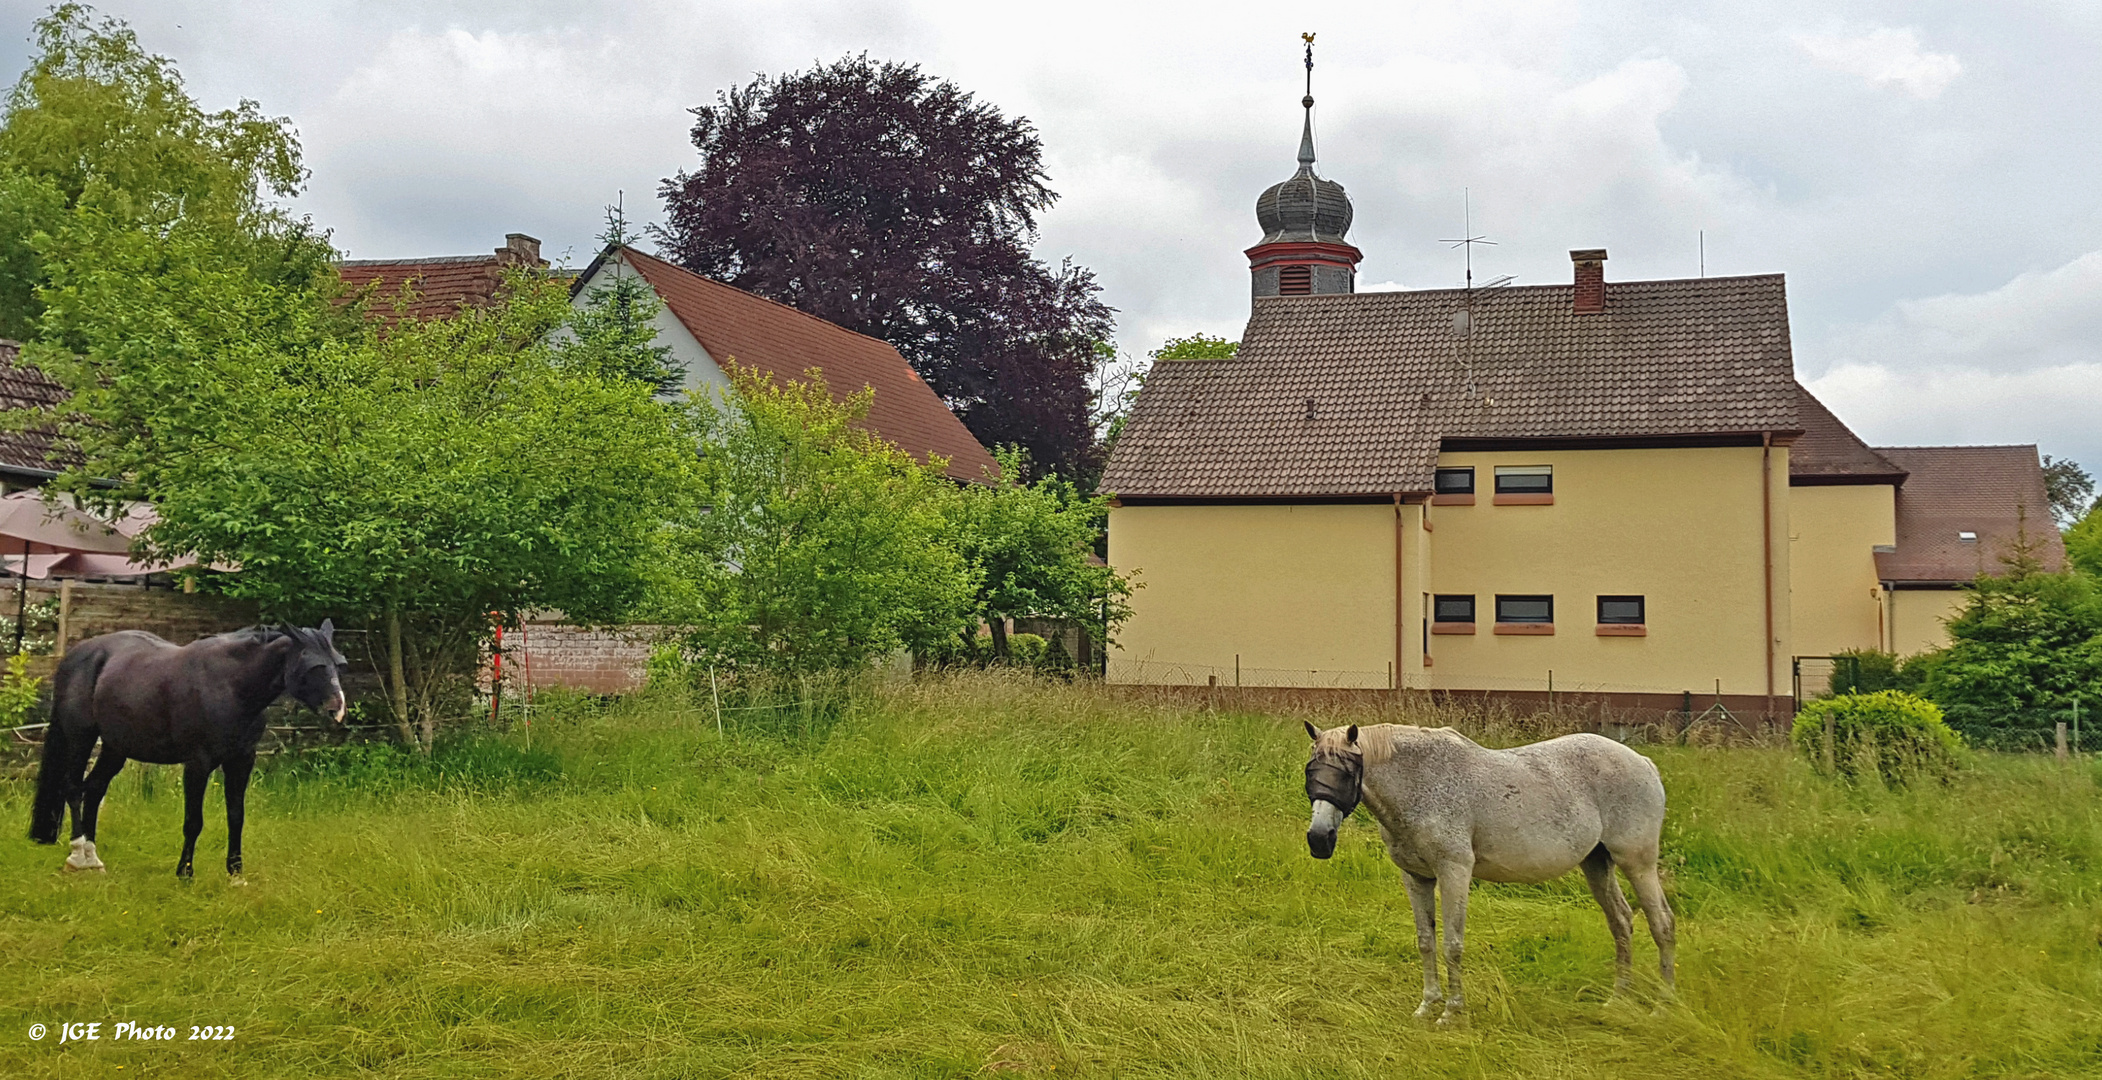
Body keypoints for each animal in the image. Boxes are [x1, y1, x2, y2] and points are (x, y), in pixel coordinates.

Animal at [26, 621, 346, 874]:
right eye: (314, 665)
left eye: (338, 663)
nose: (338, 709)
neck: (231, 686)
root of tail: (77, 655)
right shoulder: (198, 764)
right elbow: (193, 821)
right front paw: (185, 873)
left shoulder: (241, 760)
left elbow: (236, 816)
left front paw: (236, 874)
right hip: (80, 737)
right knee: (73, 788)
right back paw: (78, 856)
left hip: (116, 747)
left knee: (93, 789)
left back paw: (93, 858)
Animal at [1294, 718, 1673, 1021]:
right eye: (1311, 772)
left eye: (1345, 774)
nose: (1319, 839)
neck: (1420, 781)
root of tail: (1643, 763)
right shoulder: (1416, 877)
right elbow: (1426, 941)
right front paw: (1427, 1006)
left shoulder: (1454, 872)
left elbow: (1452, 944)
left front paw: (1451, 1012)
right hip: (1596, 863)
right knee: (1621, 922)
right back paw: (1617, 999)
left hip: (1637, 862)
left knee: (1662, 924)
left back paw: (1662, 1005)